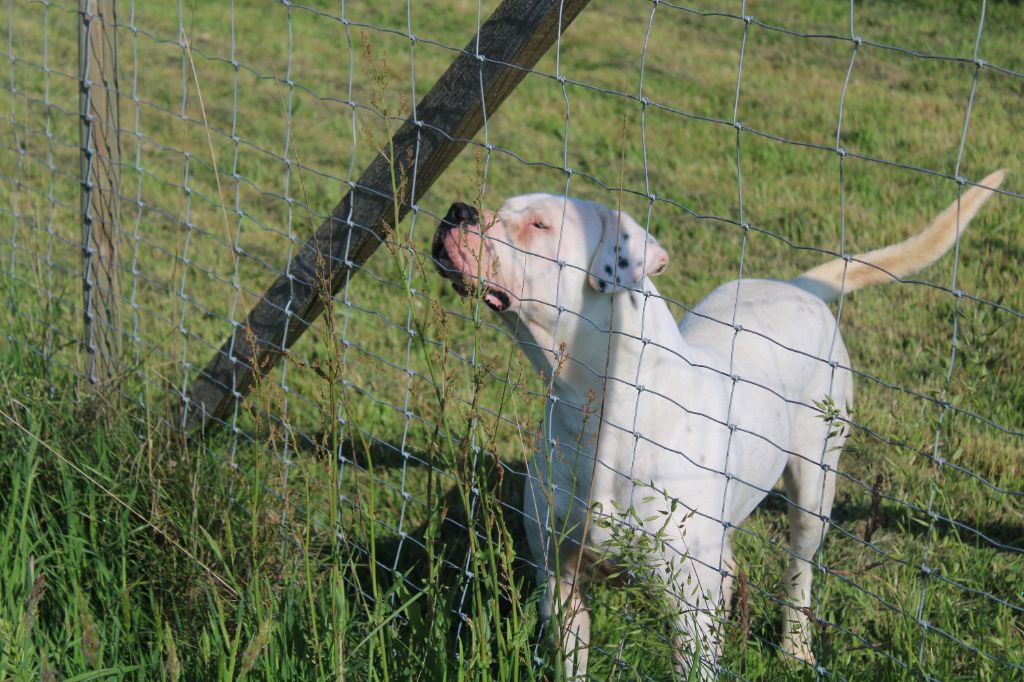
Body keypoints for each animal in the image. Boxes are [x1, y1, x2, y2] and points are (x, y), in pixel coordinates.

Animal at [430, 169, 999, 675]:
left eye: (540, 225)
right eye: (501, 206)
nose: (458, 210)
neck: (602, 413)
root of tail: (799, 286)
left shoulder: (688, 614)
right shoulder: (561, 582)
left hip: (815, 487)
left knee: (800, 570)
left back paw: (795, 649)